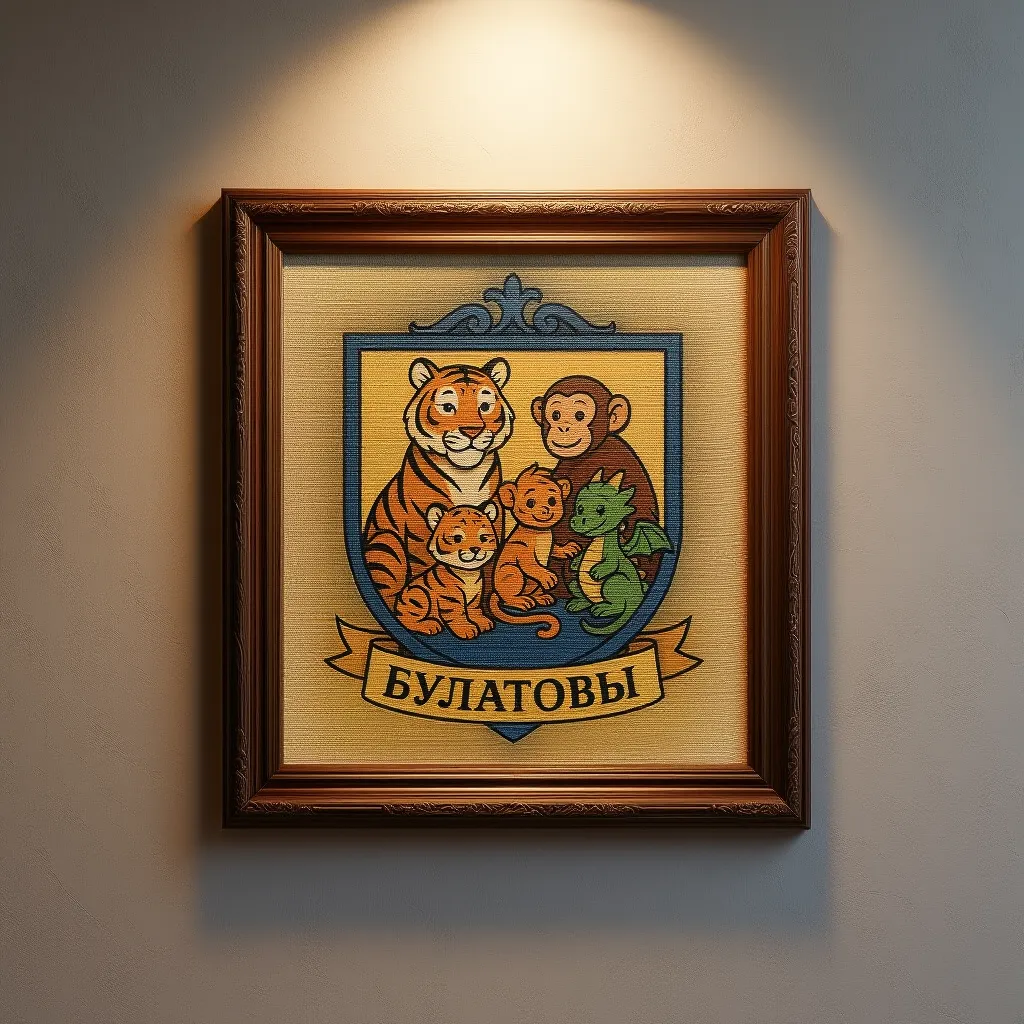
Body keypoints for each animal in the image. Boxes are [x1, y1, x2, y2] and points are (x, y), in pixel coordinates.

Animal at [363, 356, 514, 609]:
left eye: (484, 406)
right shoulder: (419, 526)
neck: (466, 472)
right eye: (448, 407)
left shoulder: (496, 515)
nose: (472, 431)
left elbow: (490, 562)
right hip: (385, 541)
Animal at [394, 503, 499, 639]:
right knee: (408, 620)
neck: (469, 574)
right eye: (457, 538)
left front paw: (482, 622)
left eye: (483, 537)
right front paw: (466, 629)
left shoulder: (476, 596)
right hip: (418, 595)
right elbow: (457, 613)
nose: (475, 549)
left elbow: (474, 609)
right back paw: (430, 625)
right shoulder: (450, 597)